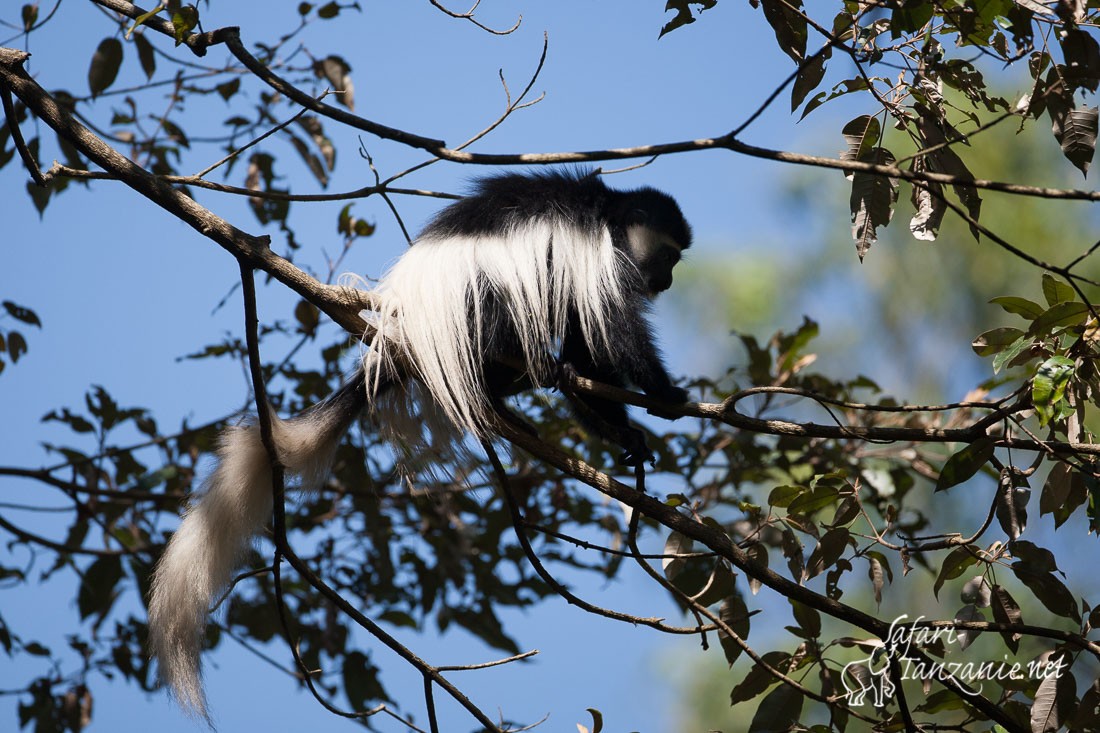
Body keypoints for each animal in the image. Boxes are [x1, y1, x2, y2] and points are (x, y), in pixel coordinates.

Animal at [150, 169, 690, 713]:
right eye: (667, 257)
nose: (666, 283)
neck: (610, 215)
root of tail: (406, 338)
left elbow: (587, 345)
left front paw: (625, 433)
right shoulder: (600, 255)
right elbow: (612, 331)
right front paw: (665, 394)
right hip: (475, 306)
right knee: (515, 308)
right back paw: (521, 380)